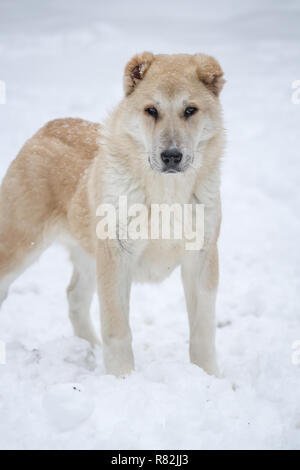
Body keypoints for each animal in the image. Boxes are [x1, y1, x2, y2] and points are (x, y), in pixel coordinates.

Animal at [0, 54, 225, 378]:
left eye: (190, 110)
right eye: (151, 110)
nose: (171, 156)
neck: (166, 194)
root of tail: (49, 126)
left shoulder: (201, 256)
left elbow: (202, 330)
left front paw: (209, 378)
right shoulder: (116, 256)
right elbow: (118, 329)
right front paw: (122, 380)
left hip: (88, 256)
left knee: (75, 297)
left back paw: (90, 350)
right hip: (20, 245)